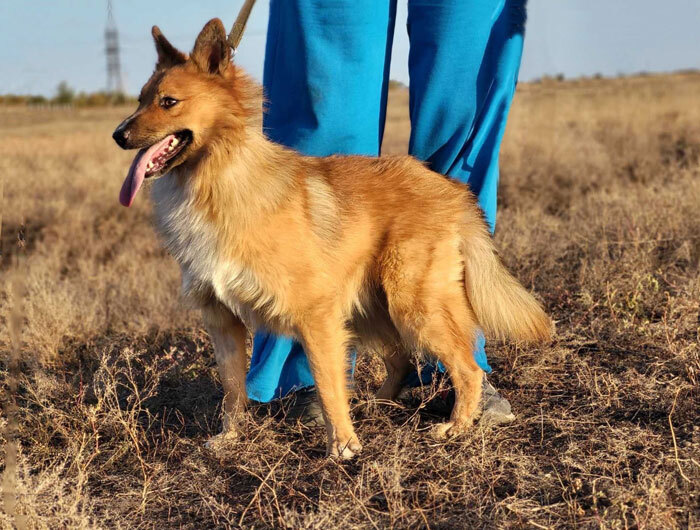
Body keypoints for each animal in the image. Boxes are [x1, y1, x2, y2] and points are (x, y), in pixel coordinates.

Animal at [113, 19, 552, 458]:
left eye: (169, 102)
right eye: (140, 99)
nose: (118, 136)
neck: (216, 180)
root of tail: (451, 189)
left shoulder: (317, 318)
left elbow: (327, 385)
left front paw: (342, 445)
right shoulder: (222, 320)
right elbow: (232, 390)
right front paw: (231, 437)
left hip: (413, 306)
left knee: (467, 367)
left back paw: (457, 427)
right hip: (372, 310)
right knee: (402, 360)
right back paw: (378, 405)